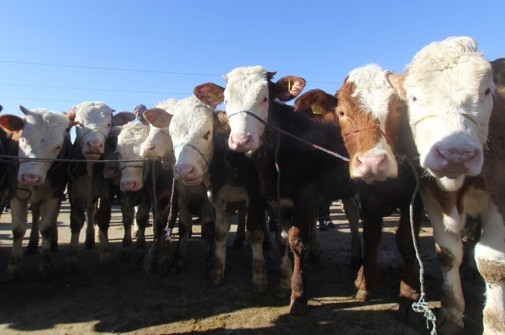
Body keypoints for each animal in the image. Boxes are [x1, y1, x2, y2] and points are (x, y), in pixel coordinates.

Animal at [0, 106, 76, 282]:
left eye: (58, 146)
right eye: (22, 139)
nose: (31, 177)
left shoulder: (54, 193)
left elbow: (46, 227)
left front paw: (46, 265)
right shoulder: (16, 192)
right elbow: (18, 229)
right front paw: (12, 267)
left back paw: (52, 243)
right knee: (35, 214)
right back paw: (33, 244)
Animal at [386, 36, 500, 335]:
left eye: (487, 91)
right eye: (413, 98)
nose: (456, 154)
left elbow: (492, 265)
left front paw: (495, 324)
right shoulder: (432, 195)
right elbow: (447, 253)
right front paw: (451, 312)